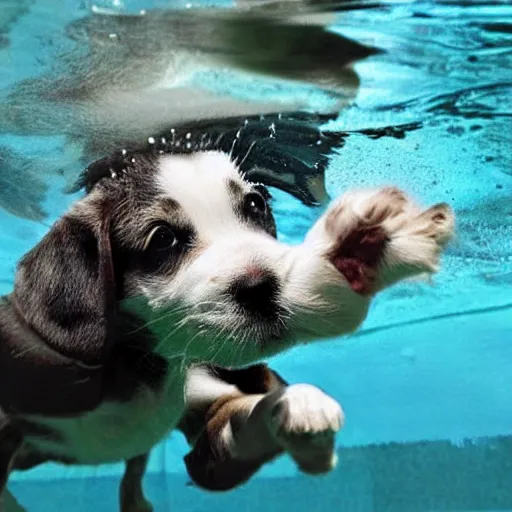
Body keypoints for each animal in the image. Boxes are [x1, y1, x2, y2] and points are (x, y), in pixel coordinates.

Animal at [1, 147, 456, 508]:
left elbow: (249, 415)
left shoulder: (211, 433)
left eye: (256, 205)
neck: (146, 367)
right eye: (162, 239)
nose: (265, 287)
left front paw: (298, 405)